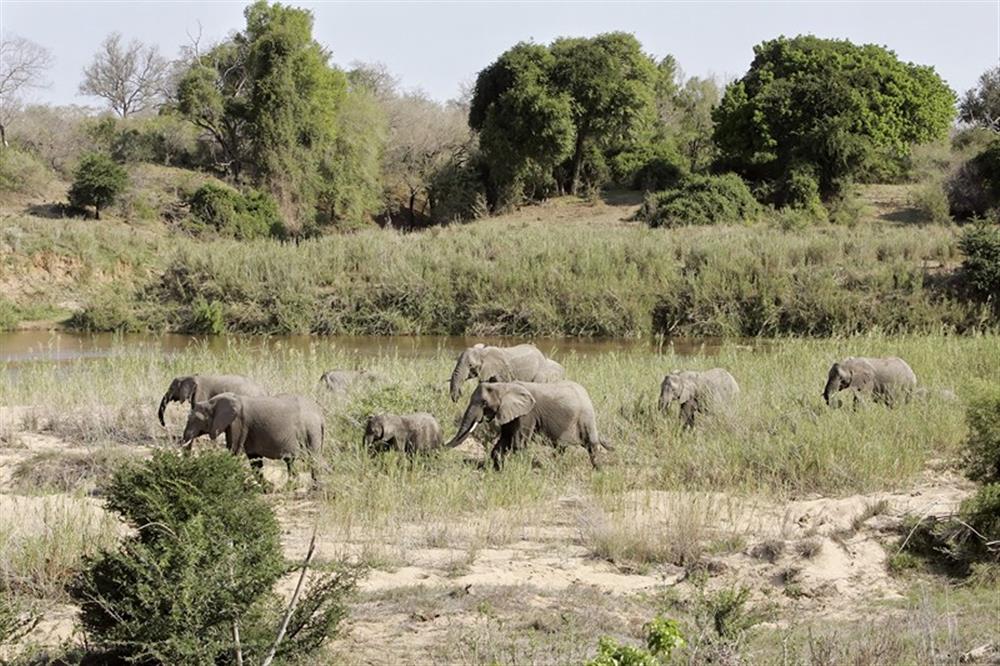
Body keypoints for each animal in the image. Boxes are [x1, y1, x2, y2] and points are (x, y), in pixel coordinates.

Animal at [178, 392, 322, 486]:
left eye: (195, 419)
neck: (212, 402)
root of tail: (321, 416)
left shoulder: (238, 422)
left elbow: (234, 450)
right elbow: (254, 459)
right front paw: (268, 488)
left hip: (311, 430)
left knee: (311, 458)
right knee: (292, 461)